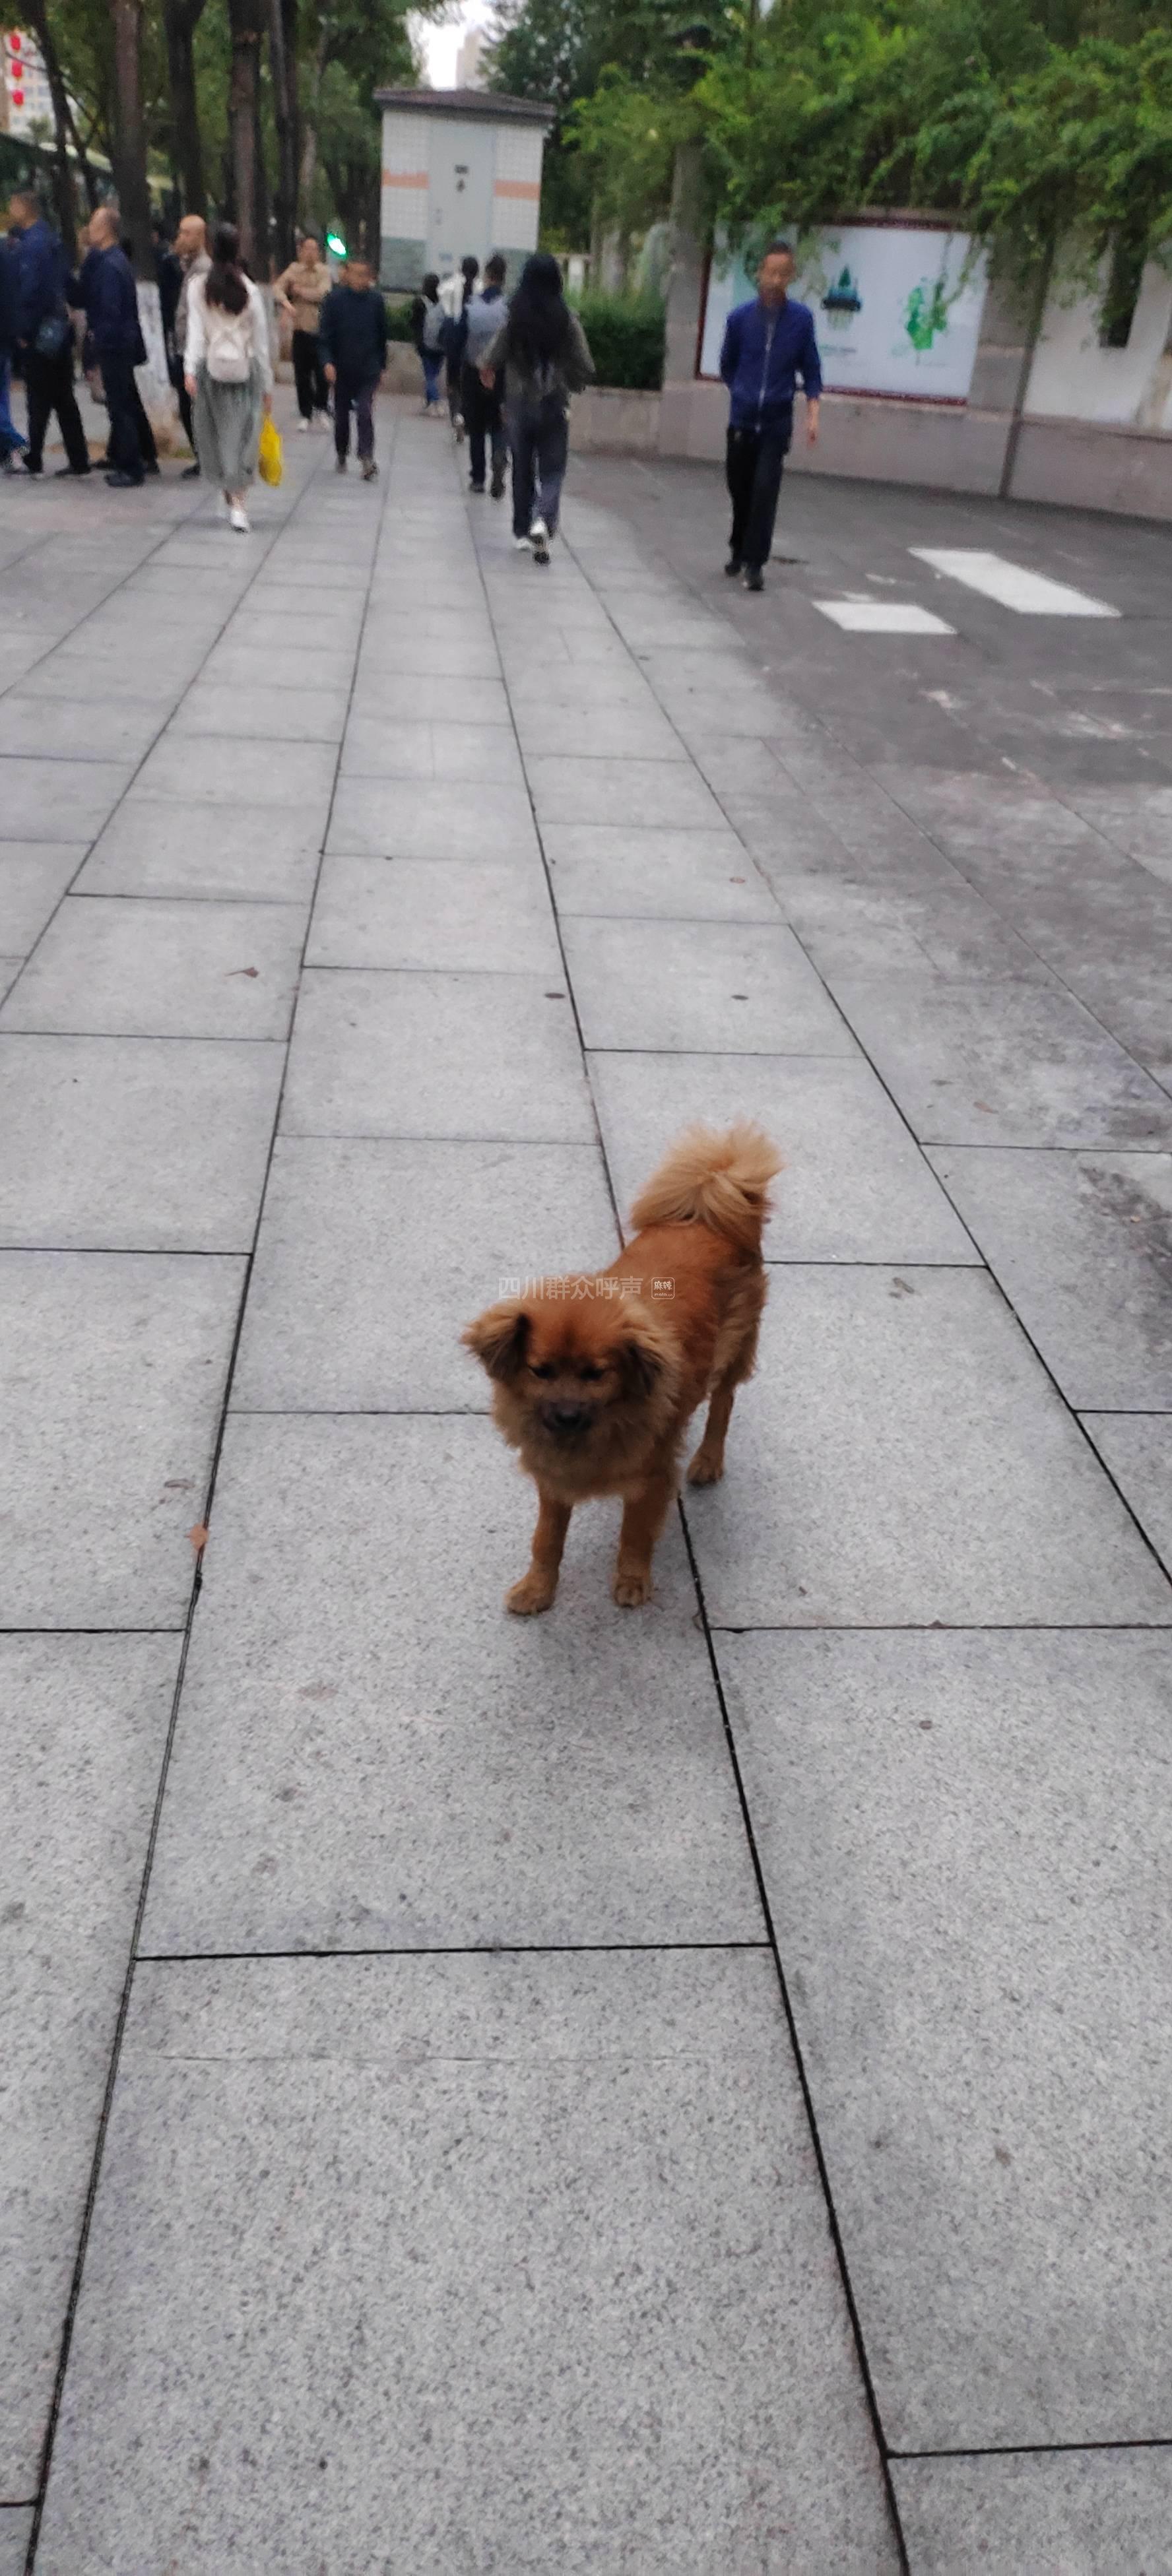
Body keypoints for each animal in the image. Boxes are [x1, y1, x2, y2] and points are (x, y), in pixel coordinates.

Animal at [462, 1123, 782, 1614]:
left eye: (596, 1374)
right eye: (540, 1371)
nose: (566, 1416)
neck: (599, 1427)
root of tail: (708, 1212)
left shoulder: (651, 1478)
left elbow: (635, 1533)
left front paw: (631, 1580)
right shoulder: (553, 1479)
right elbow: (546, 1540)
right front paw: (538, 1589)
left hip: (734, 1351)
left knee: (723, 1403)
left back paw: (708, 1459)